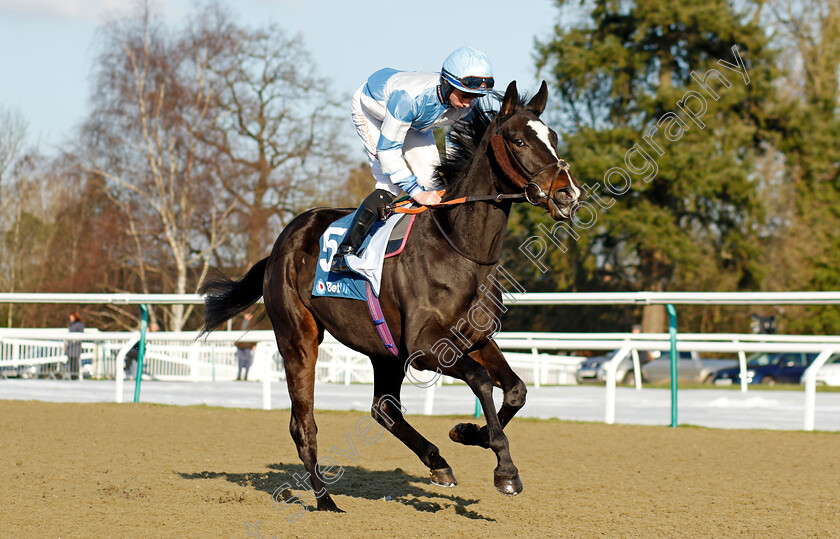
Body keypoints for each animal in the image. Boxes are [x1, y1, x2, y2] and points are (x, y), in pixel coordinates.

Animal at [200, 81, 580, 516]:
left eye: (553, 137)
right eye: (518, 140)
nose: (568, 194)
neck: (459, 250)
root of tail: (282, 242)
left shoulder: (475, 339)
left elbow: (516, 390)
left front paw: (469, 432)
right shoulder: (425, 348)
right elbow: (482, 381)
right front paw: (505, 470)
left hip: (383, 350)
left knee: (383, 408)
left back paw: (437, 462)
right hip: (298, 338)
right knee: (304, 423)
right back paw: (326, 501)